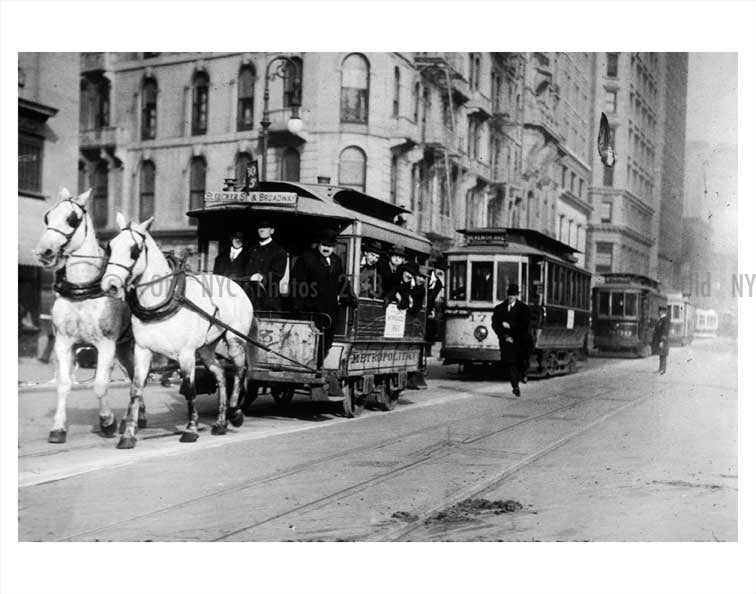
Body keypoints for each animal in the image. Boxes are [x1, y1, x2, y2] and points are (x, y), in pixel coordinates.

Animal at [32, 187, 143, 442]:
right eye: (47, 216)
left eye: (72, 219)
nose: (44, 252)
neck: (82, 291)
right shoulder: (63, 343)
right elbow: (63, 384)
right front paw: (58, 428)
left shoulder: (105, 344)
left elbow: (100, 384)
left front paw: (107, 422)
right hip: (123, 348)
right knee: (134, 375)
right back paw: (136, 417)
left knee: (137, 377)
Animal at [99, 212, 254, 444]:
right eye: (110, 247)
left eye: (134, 251)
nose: (110, 285)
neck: (165, 299)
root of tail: (233, 282)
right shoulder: (142, 351)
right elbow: (136, 388)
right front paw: (128, 435)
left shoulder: (186, 353)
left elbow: (190, 390)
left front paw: (191, 429)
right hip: (207, 347)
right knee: (219, 373)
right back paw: (220, 423)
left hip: (235, 340)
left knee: (238, 370)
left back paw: (235, 412)